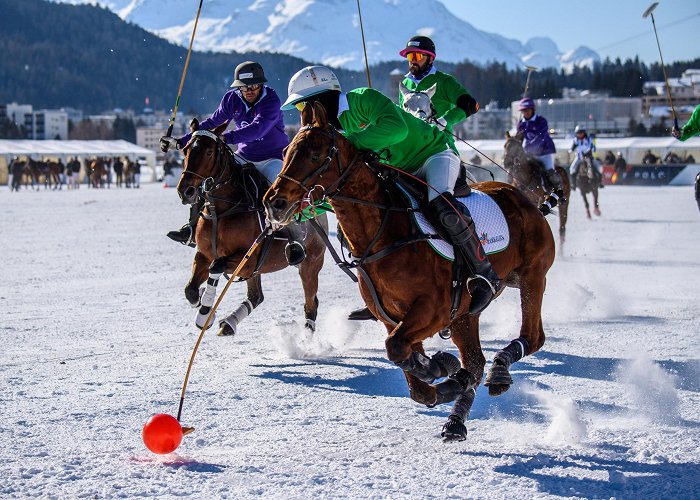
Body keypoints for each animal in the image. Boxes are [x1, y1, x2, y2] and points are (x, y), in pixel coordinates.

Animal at [175, 121, 328, 338]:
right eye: (186, 149)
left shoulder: (248, 260)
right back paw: (229, 323)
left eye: (209, 152)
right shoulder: (204, 254)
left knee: (311, 303)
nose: (185, 191)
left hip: (311, 263)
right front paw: (206, 309)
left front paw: (204, 315)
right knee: (256, 296)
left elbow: (216, 267)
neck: (223, 209)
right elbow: (191, 290)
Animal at [264, 102, 556, 442]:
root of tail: (524, 197)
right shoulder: (394, 317)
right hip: (465, 312)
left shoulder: (433, 309)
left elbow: (396, 350)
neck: (385, 232)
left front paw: (439, 367)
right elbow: (415, 381)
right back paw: (456, 418)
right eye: (286, 152)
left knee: (532, 336)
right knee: (475, 361)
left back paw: (498, 370)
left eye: (314, 154)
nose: (274, 202)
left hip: (532, 277)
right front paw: (443, 369)